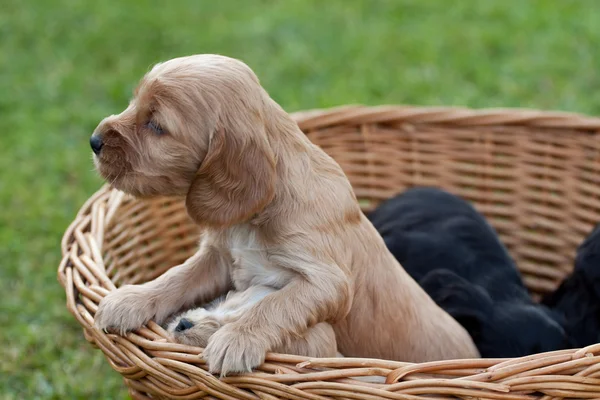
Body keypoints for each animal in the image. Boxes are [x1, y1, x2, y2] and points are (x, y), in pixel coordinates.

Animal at [91, 53, 480, 376]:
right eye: (134, 103)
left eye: (156, 125)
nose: (94, 141)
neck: (252, 222)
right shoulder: (220, 258)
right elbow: (178, 275)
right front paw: (130, 299)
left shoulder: (326, 281)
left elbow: (276, 304)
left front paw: (236, 340)